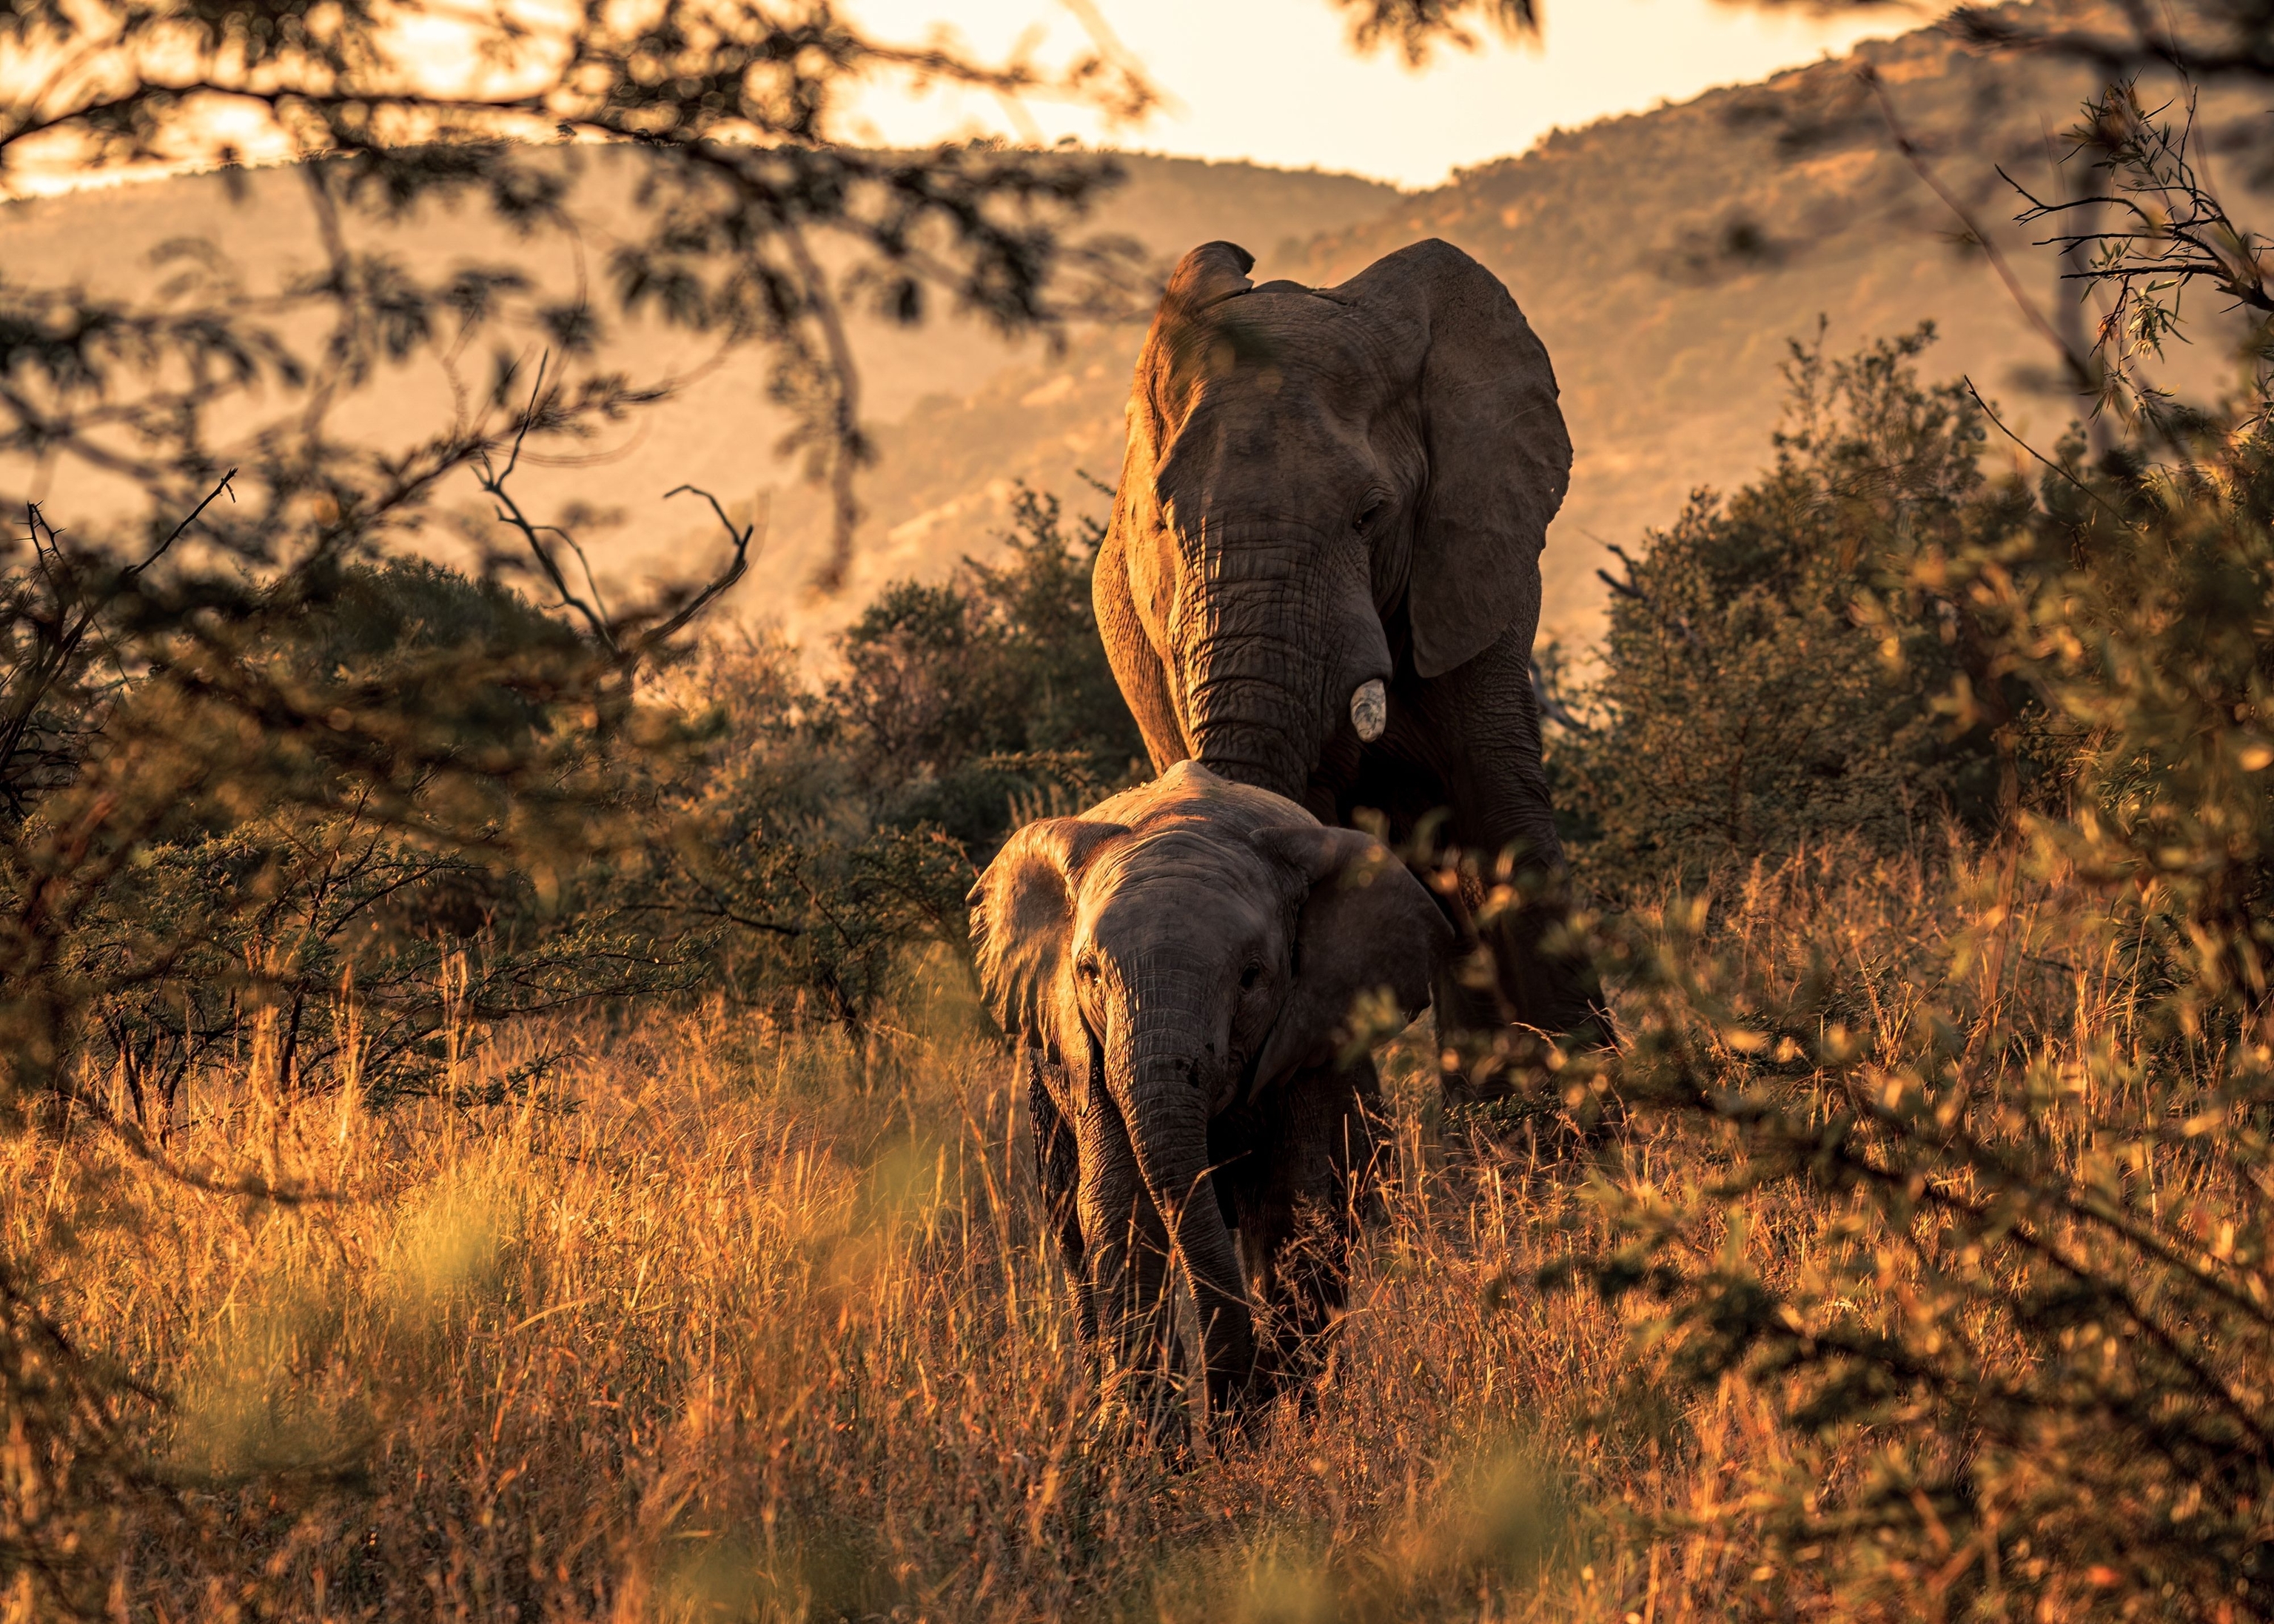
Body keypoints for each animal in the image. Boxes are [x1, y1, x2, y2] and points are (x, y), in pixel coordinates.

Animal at [968, 760, 1449, 1430]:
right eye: (1089, 974)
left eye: (1251, 978)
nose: (1224, 1416)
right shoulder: (1085, 1056)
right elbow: (1117, 1206)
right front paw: (1148, 1446)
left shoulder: (1308, 1035)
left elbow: (1291, 1204)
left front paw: (1275, 1430)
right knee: (1070, 1230)